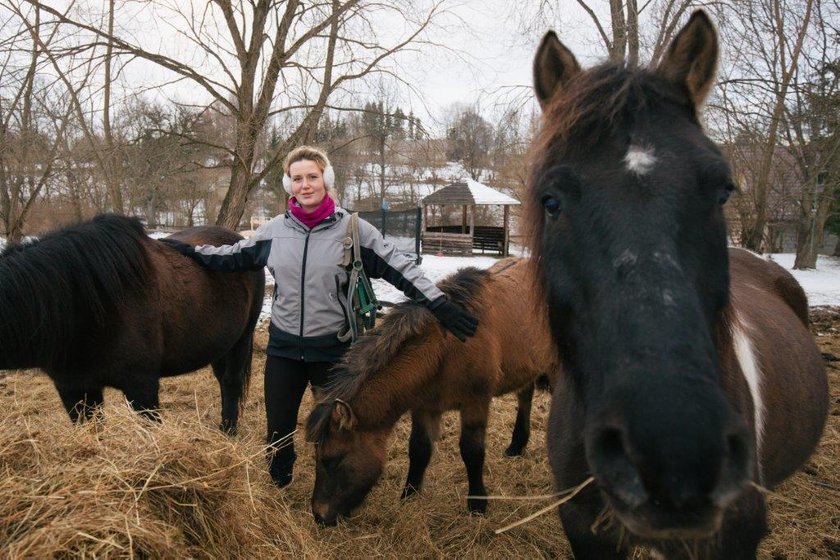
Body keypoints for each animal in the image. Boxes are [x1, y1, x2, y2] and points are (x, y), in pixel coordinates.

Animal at [306, 258, 556, 524]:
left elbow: (472, 452)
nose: (319, 516)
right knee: (525, 396)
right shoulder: (424, 406)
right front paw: (409, 495)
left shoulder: (475, 403)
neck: (445, 347)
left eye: (333, 460)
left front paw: (477, 504)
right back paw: (517, 445)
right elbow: (418, 449)